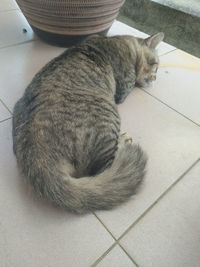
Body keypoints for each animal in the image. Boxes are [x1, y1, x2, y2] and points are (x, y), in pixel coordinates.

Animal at [13, 31, 165, 214]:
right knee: (103, 168)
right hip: (109, 116)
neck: (122, 41)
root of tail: (37, 158)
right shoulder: (124, 89)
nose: (155, 78)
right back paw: (122, 141)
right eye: (156, 64)